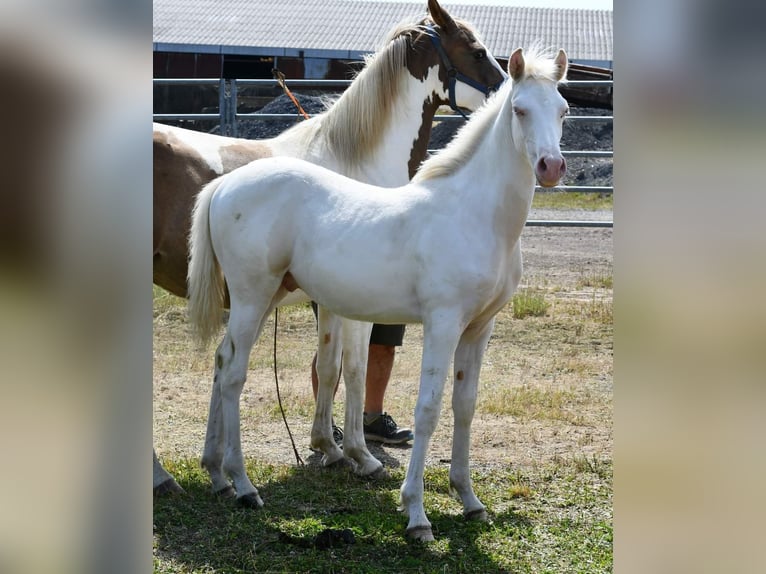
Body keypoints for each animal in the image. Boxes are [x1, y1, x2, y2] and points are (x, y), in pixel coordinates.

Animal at [152, 0, 508, 496]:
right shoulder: (352, 306)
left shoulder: (331, 302)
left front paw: (328, 446)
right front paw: (359, 454)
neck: (354, 157)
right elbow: (352, 369)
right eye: (476, 51)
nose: (508, 88)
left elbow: (327, 367)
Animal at [186, 47, 568, 544]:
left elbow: (464, 407)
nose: (551, 167)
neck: (473, 215)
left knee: (220, 360)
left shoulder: (479, 329)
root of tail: (222, 185)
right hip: (252, 296)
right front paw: (417, 516)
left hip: (266, 297)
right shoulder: (443, 323)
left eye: (562, 110)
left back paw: (217, 476)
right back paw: (244, 485)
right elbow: (428, 409)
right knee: (233, 374)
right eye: (520, 110)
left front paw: (470, 501)